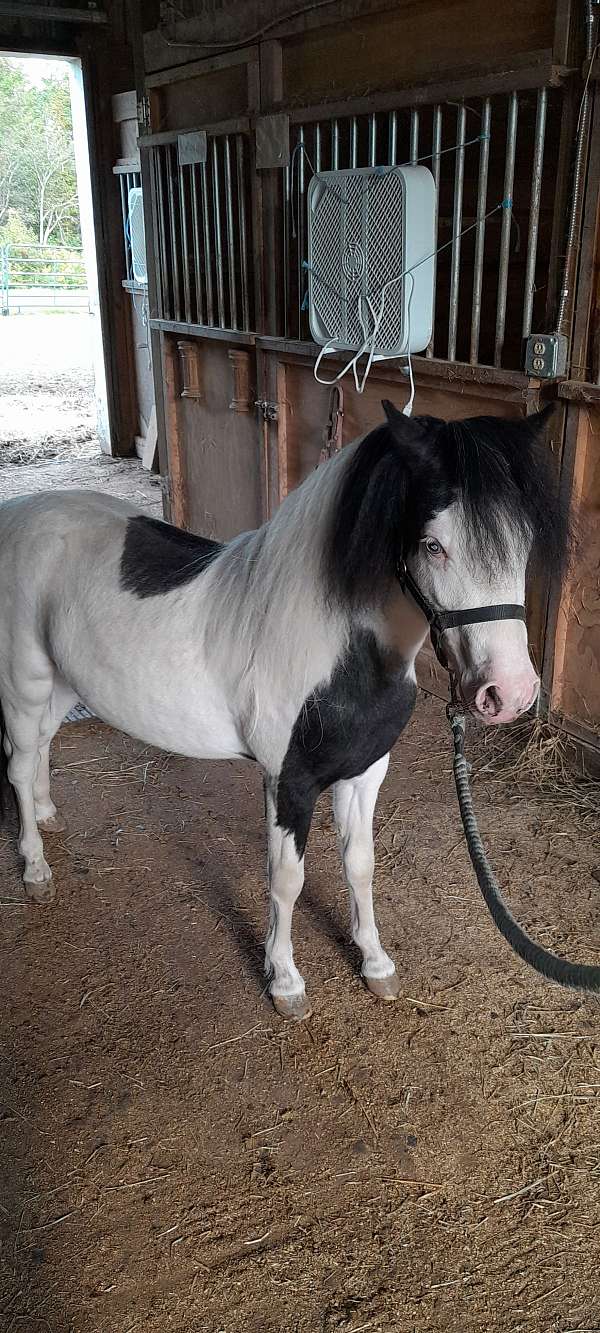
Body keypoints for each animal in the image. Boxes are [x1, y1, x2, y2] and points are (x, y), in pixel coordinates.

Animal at [0, 399, 568, 1013]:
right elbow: (286, 880)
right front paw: (285, 981)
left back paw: (48, 814)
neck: (334, 645)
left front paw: (375, 963)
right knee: (18, 762)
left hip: (63, 682)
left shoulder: (365, 772)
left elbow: (359, 865)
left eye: (523, 540)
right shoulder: (288, 781)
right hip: (24, 681)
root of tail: (18, 514)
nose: (508, 693)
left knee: (41, 746)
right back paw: (35, 868)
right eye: (432, 544)